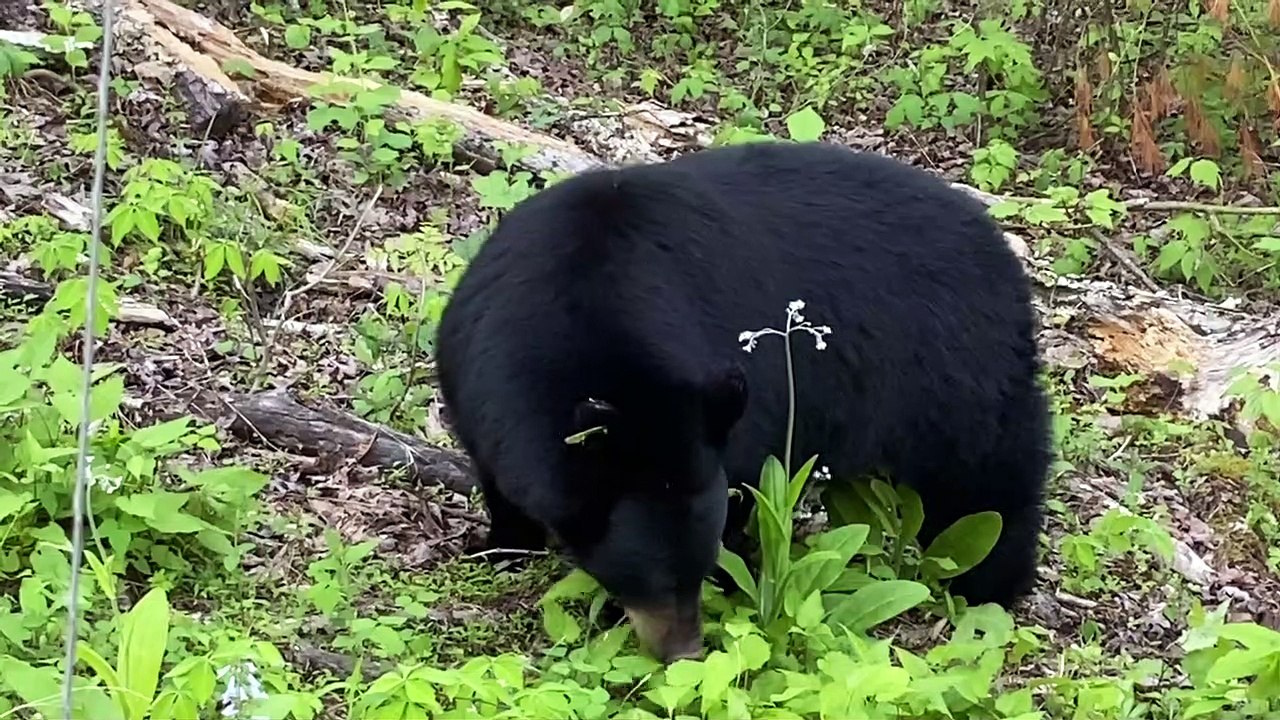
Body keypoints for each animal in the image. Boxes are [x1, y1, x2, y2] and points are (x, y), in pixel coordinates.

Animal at [434, 140, 1051, 663]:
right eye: (649, 578)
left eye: (695, 572)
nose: (684, 653)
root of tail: (1000, 246)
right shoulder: (474, 369)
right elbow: (498, 477)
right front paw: (503, 547)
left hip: (954, 373)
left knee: (987, 480)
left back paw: (991, 583)